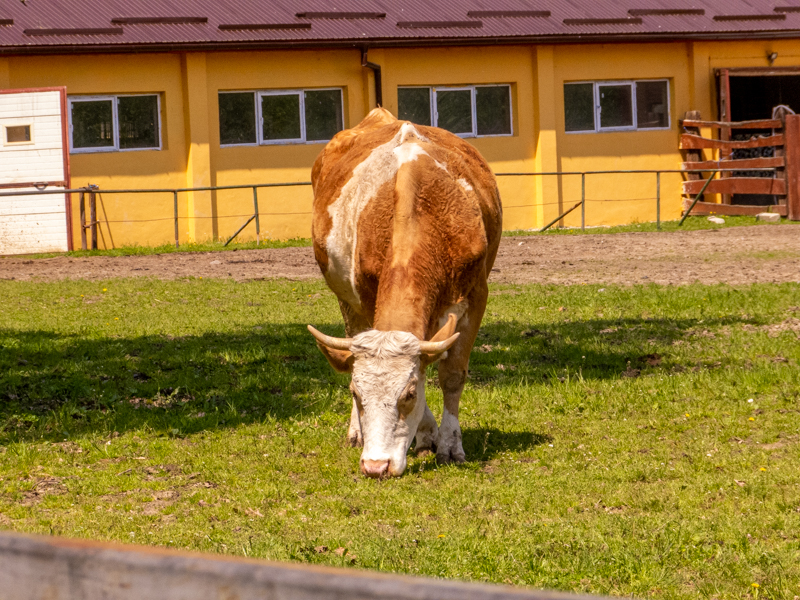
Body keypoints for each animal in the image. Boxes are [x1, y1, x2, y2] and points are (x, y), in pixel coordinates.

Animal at [308, 107, 502, 478]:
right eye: (356, 394)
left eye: (408, 395)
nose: (375, 466)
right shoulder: (367, 300)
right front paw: (426, 435)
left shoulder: (476, 295)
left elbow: (451, 374)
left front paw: (450, 444)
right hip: (347, 301)